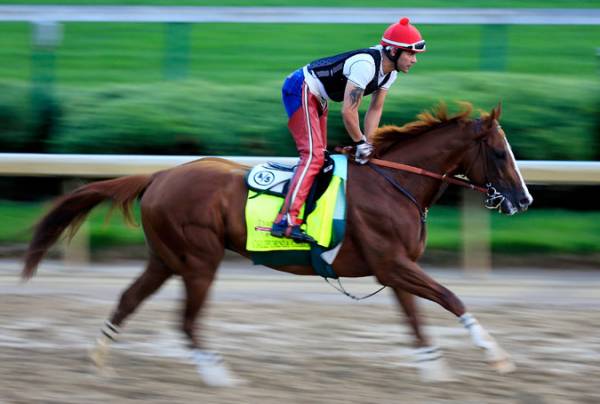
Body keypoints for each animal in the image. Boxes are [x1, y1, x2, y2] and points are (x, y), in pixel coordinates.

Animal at [21, 102, 532, 386]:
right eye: (500, 152)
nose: (524, 199)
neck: (394, 184)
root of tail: (160, 175)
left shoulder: (395, 267)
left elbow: (415, 319)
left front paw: (433, 369)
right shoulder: (393, 263)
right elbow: (451, 298)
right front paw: (496, 355)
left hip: (165, 259)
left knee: (129, 299)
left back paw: (98, 359)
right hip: (199, 260)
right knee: (187, 321)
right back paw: (219, 376)